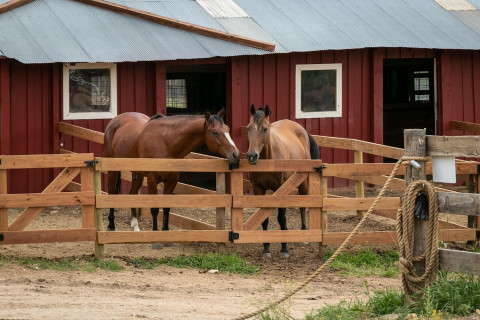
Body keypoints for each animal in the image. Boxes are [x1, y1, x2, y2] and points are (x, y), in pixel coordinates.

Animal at [104, 110, 240, 232]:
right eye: (215, 132)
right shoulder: (152, 180)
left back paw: (135, 226)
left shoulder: (172, 181)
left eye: (227, 129)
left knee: (132, 193)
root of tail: (114, 121)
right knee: (111, 192)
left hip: (138, 174)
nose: (236, 155)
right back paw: (111, 225)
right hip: (113, 170)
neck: (165, 143)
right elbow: (154, 209)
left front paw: (166, 232)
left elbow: (166, 207)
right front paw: (155, 232)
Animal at [248, 104, 318, 258]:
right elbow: (263, 218)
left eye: (265, 129)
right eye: (248, 128)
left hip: (303, 183)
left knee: (302, 207)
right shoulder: (258, 190)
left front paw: (284, 248)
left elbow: (281, 218)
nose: (251, 156)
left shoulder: (281, 189)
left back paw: (304, 234)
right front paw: (266, 248)